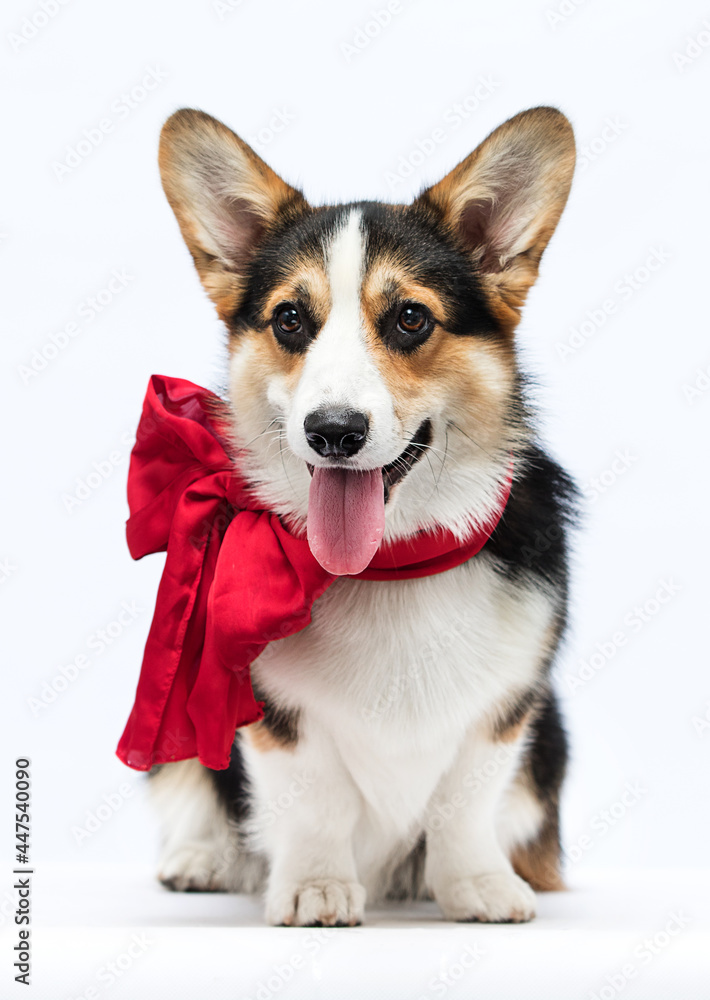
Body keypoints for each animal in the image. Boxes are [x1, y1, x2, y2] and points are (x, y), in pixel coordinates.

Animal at [150, 105, 580, 924]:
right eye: (290, 320)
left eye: (411, 318)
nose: (334, 431)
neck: (390, 564)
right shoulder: (273, 712)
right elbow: (313, 798)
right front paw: (316, 886)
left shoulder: (505, 709)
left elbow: (465, 798)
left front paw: (476, 884)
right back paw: (200, 857)